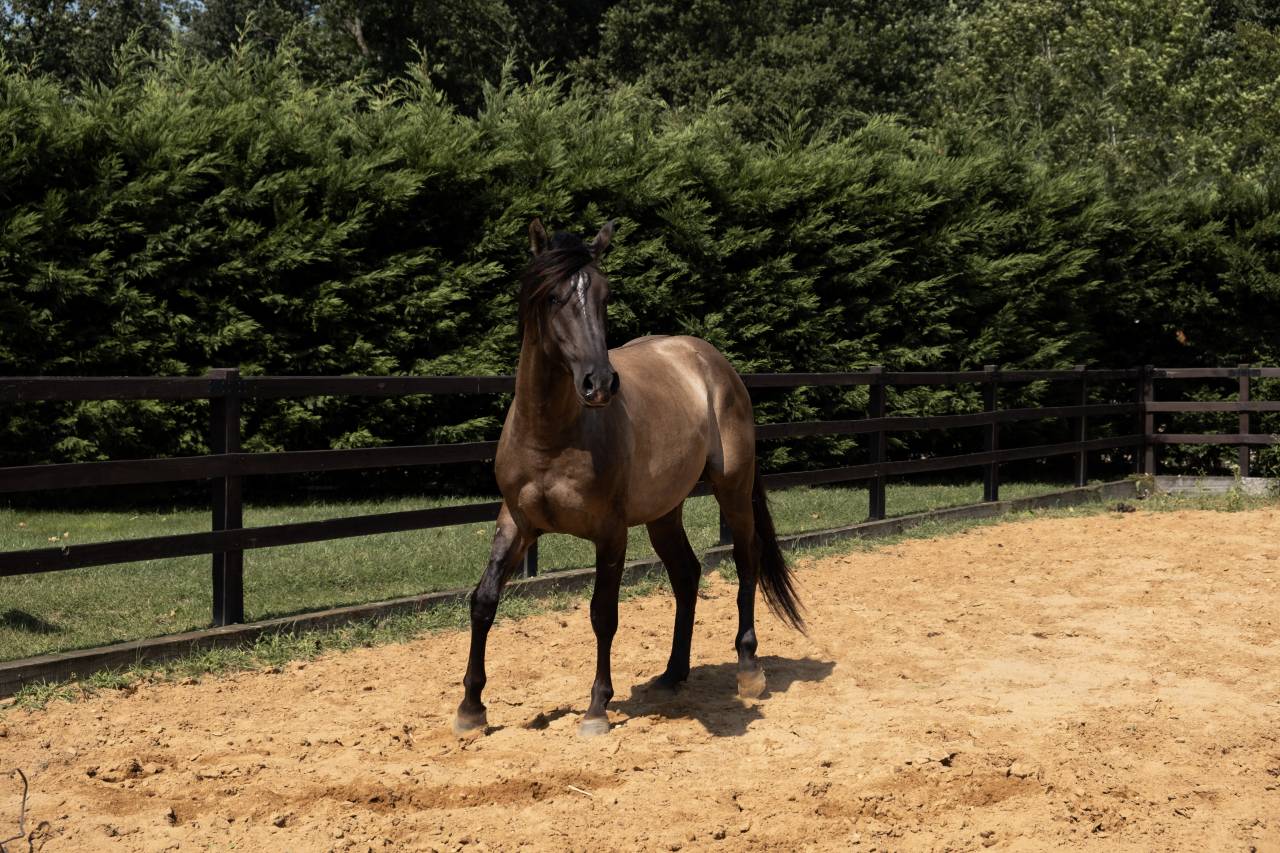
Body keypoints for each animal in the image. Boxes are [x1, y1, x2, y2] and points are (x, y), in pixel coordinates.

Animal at [453, 219, 804, 737]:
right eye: (552, 296)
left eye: (604, 295)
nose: (599, 383)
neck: (552, 437)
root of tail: (710, 361)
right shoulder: (516, 522)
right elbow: (484, 601)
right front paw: (471, 708)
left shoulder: (610, 532)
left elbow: (603, 614)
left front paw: (597, 709)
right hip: (664, 512)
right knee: (687, 574)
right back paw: (673, 674)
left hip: (733, 492)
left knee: (746, 561)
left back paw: (748, 670)